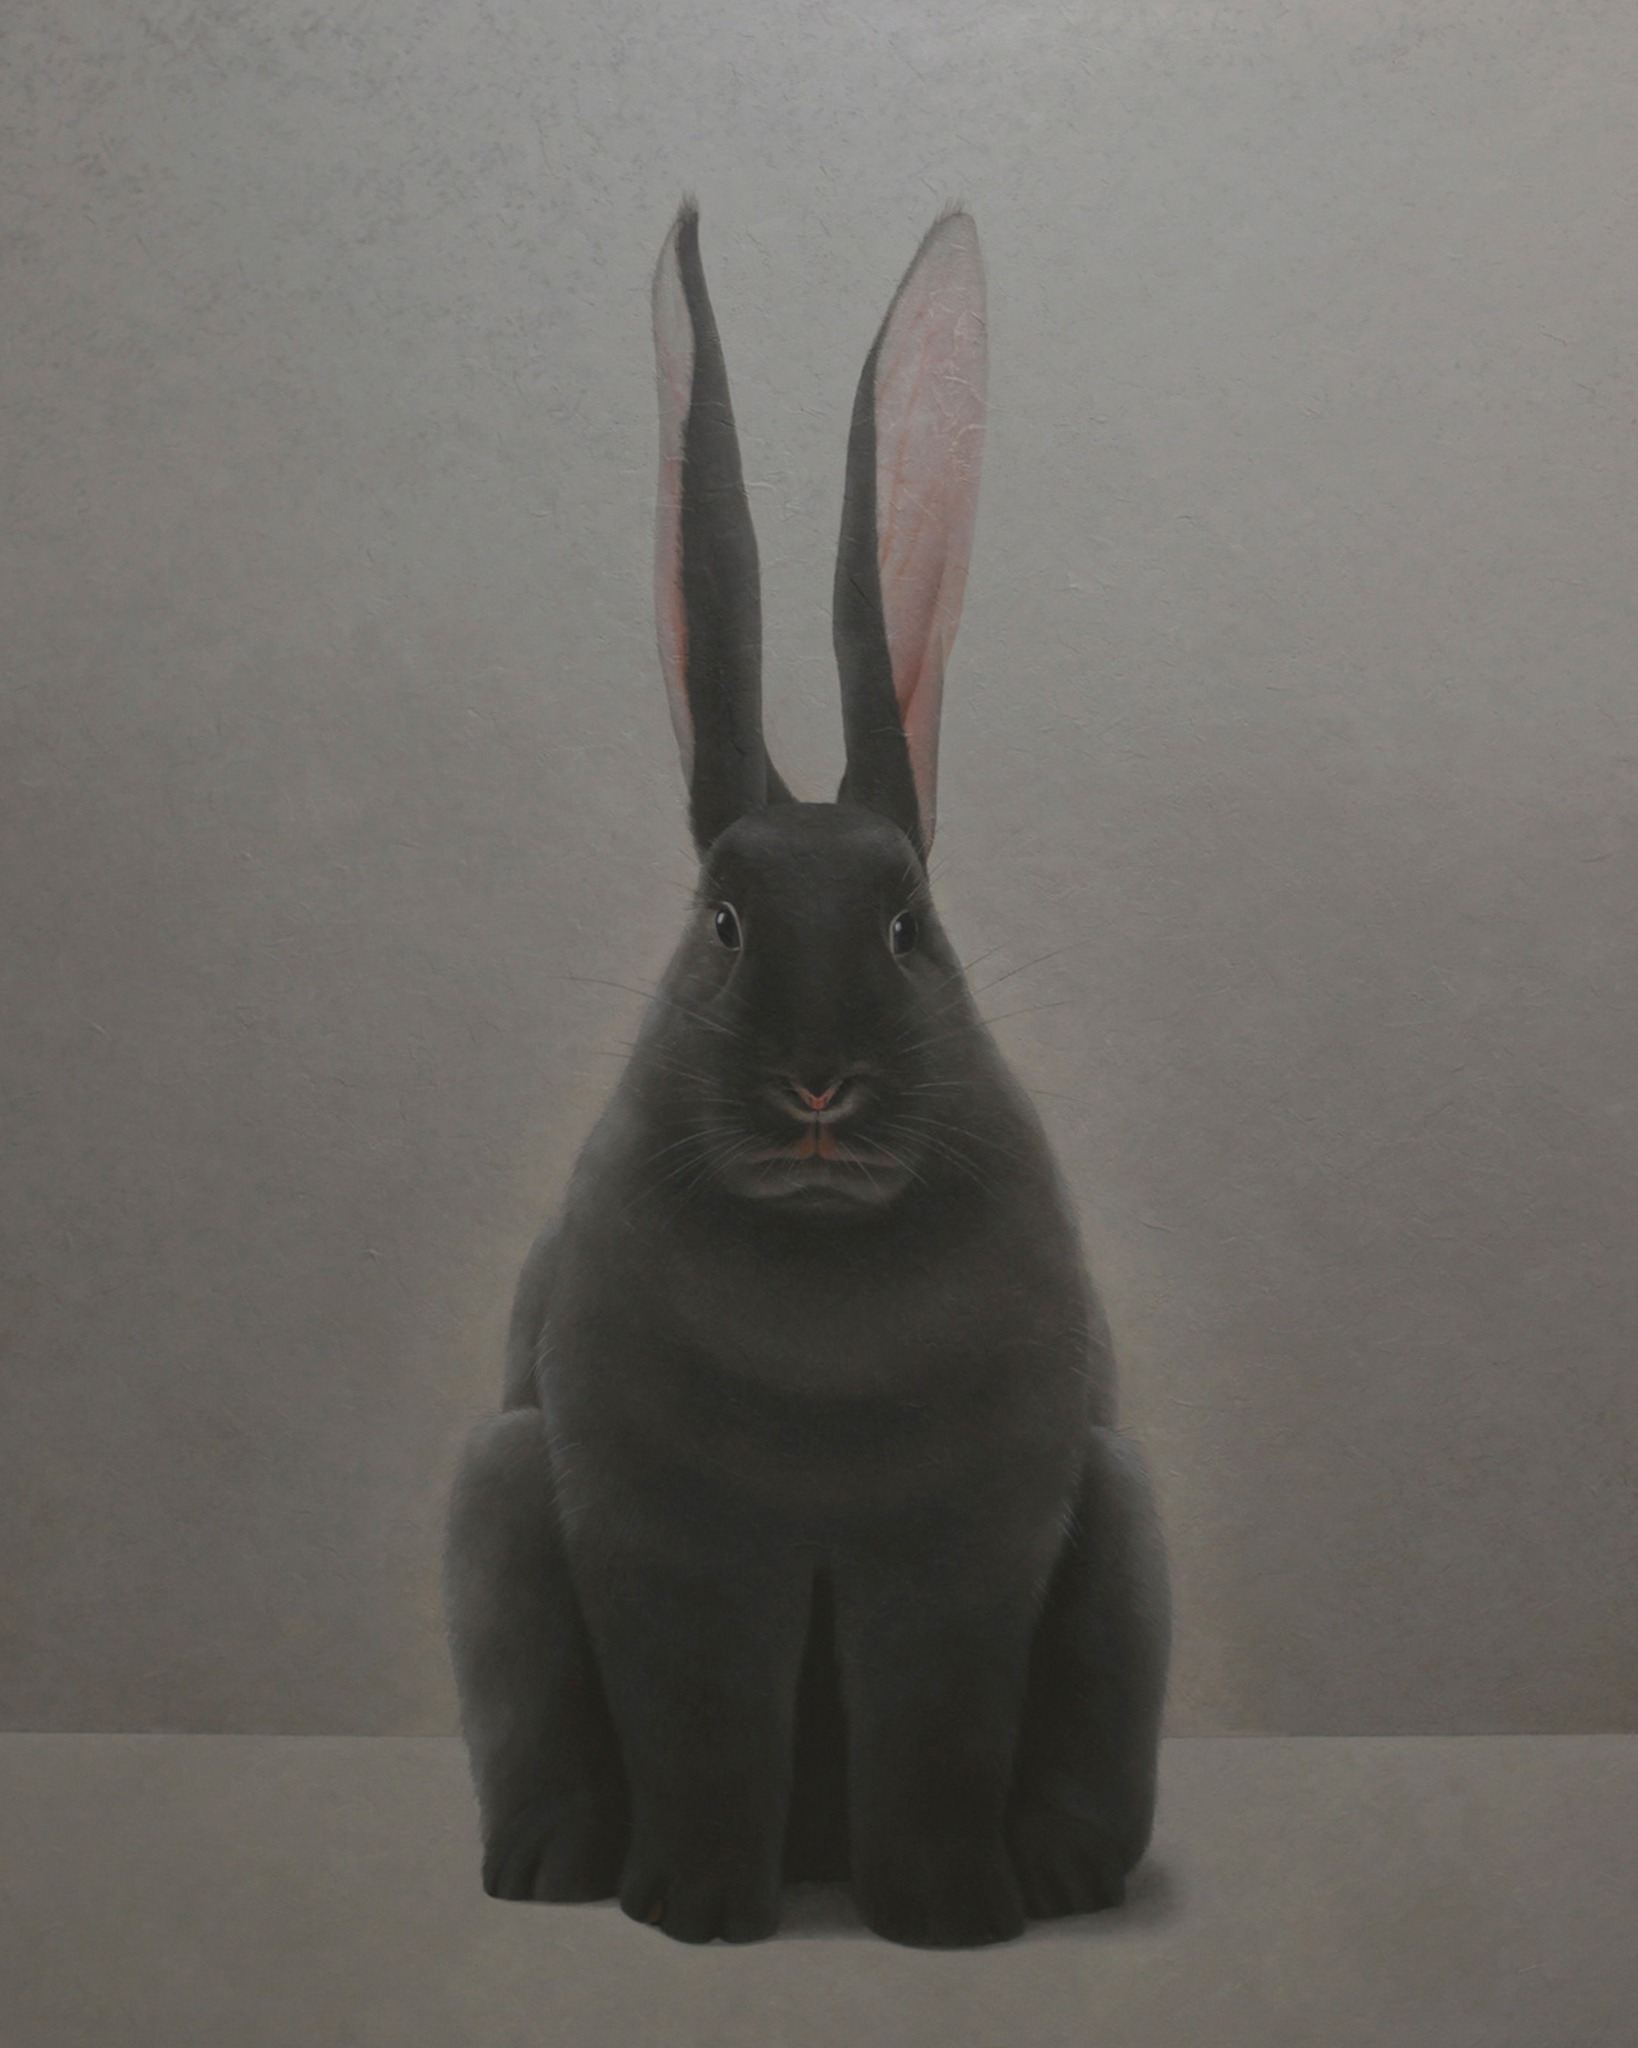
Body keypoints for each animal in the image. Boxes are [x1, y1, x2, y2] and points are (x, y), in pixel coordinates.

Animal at [443, 202, 1171, 1950]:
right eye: (722, 925)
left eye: (908, 928)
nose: (819, 1085)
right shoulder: (667, 1550)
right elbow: (702, 1731)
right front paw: (694, 1915)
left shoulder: (969, 1553)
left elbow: (936, 1733)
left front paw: (950, 1923)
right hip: (493, 1505)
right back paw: (553, 1871)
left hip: (1124, 1530)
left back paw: (1061, 1879)